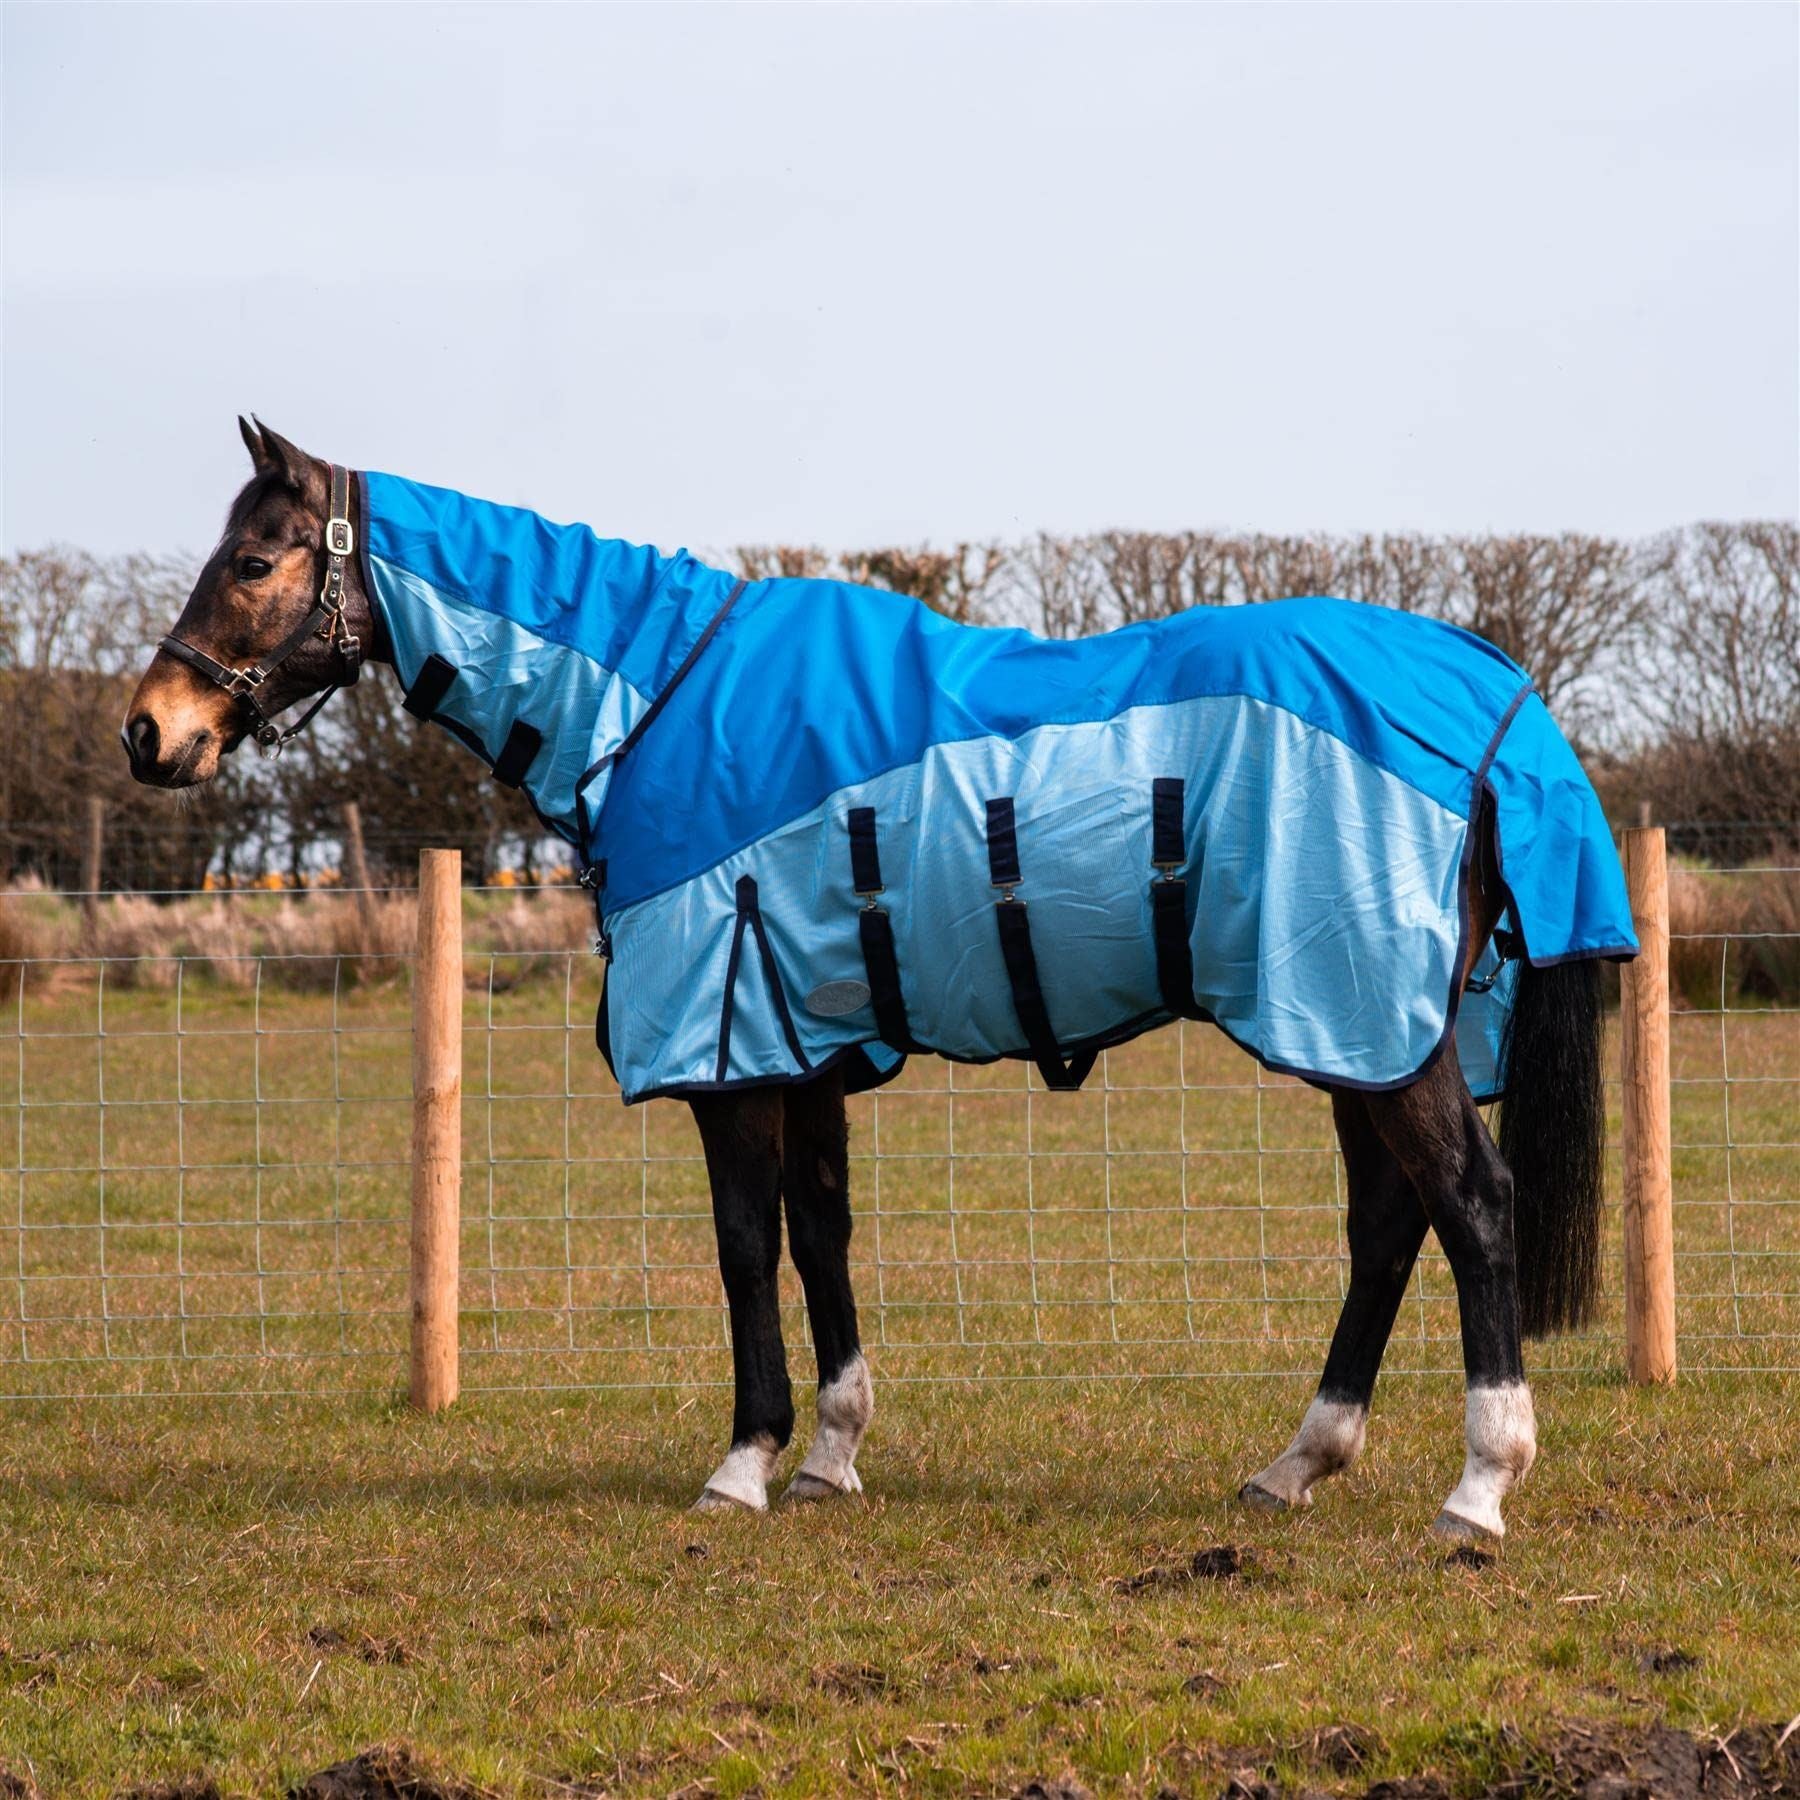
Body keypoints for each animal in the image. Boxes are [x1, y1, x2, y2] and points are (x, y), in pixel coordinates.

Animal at [123, 419, 1636, 1536]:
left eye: (253, 561)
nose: (151, 730)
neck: (658, 700)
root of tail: (1488, 684)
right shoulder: (800, 1041)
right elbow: (821, 1236)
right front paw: (832, 1456)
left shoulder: (730, 1049)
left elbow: (744, 1247)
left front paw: (743, 1464)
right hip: (1361, 1027)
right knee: (1391, 1223)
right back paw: (1298, 1463)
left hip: (1373, 1018)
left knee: (1472, 1208)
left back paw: (1481, 1484)